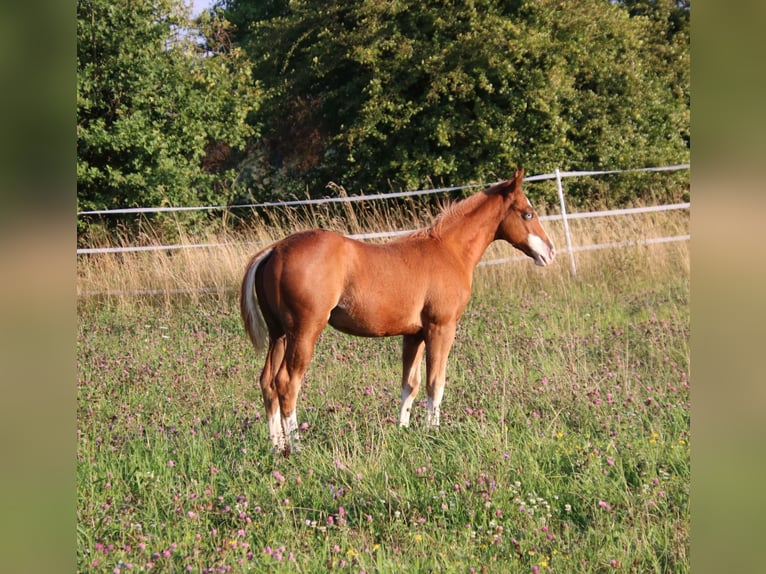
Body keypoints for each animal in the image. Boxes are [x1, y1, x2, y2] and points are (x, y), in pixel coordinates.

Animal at [240, 168, 555, 455]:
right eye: (528, 214)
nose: (550, 253)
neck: (449, 251)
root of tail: (275, 250)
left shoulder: (414, 334)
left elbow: (410, 384)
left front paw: (403, 431)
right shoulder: (441, 327)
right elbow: (435, 382)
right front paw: (432, 432)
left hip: (279, 335)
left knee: (267, 382)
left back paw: (276, 447)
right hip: (304, 332)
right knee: (287, 383)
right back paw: (296, 446)